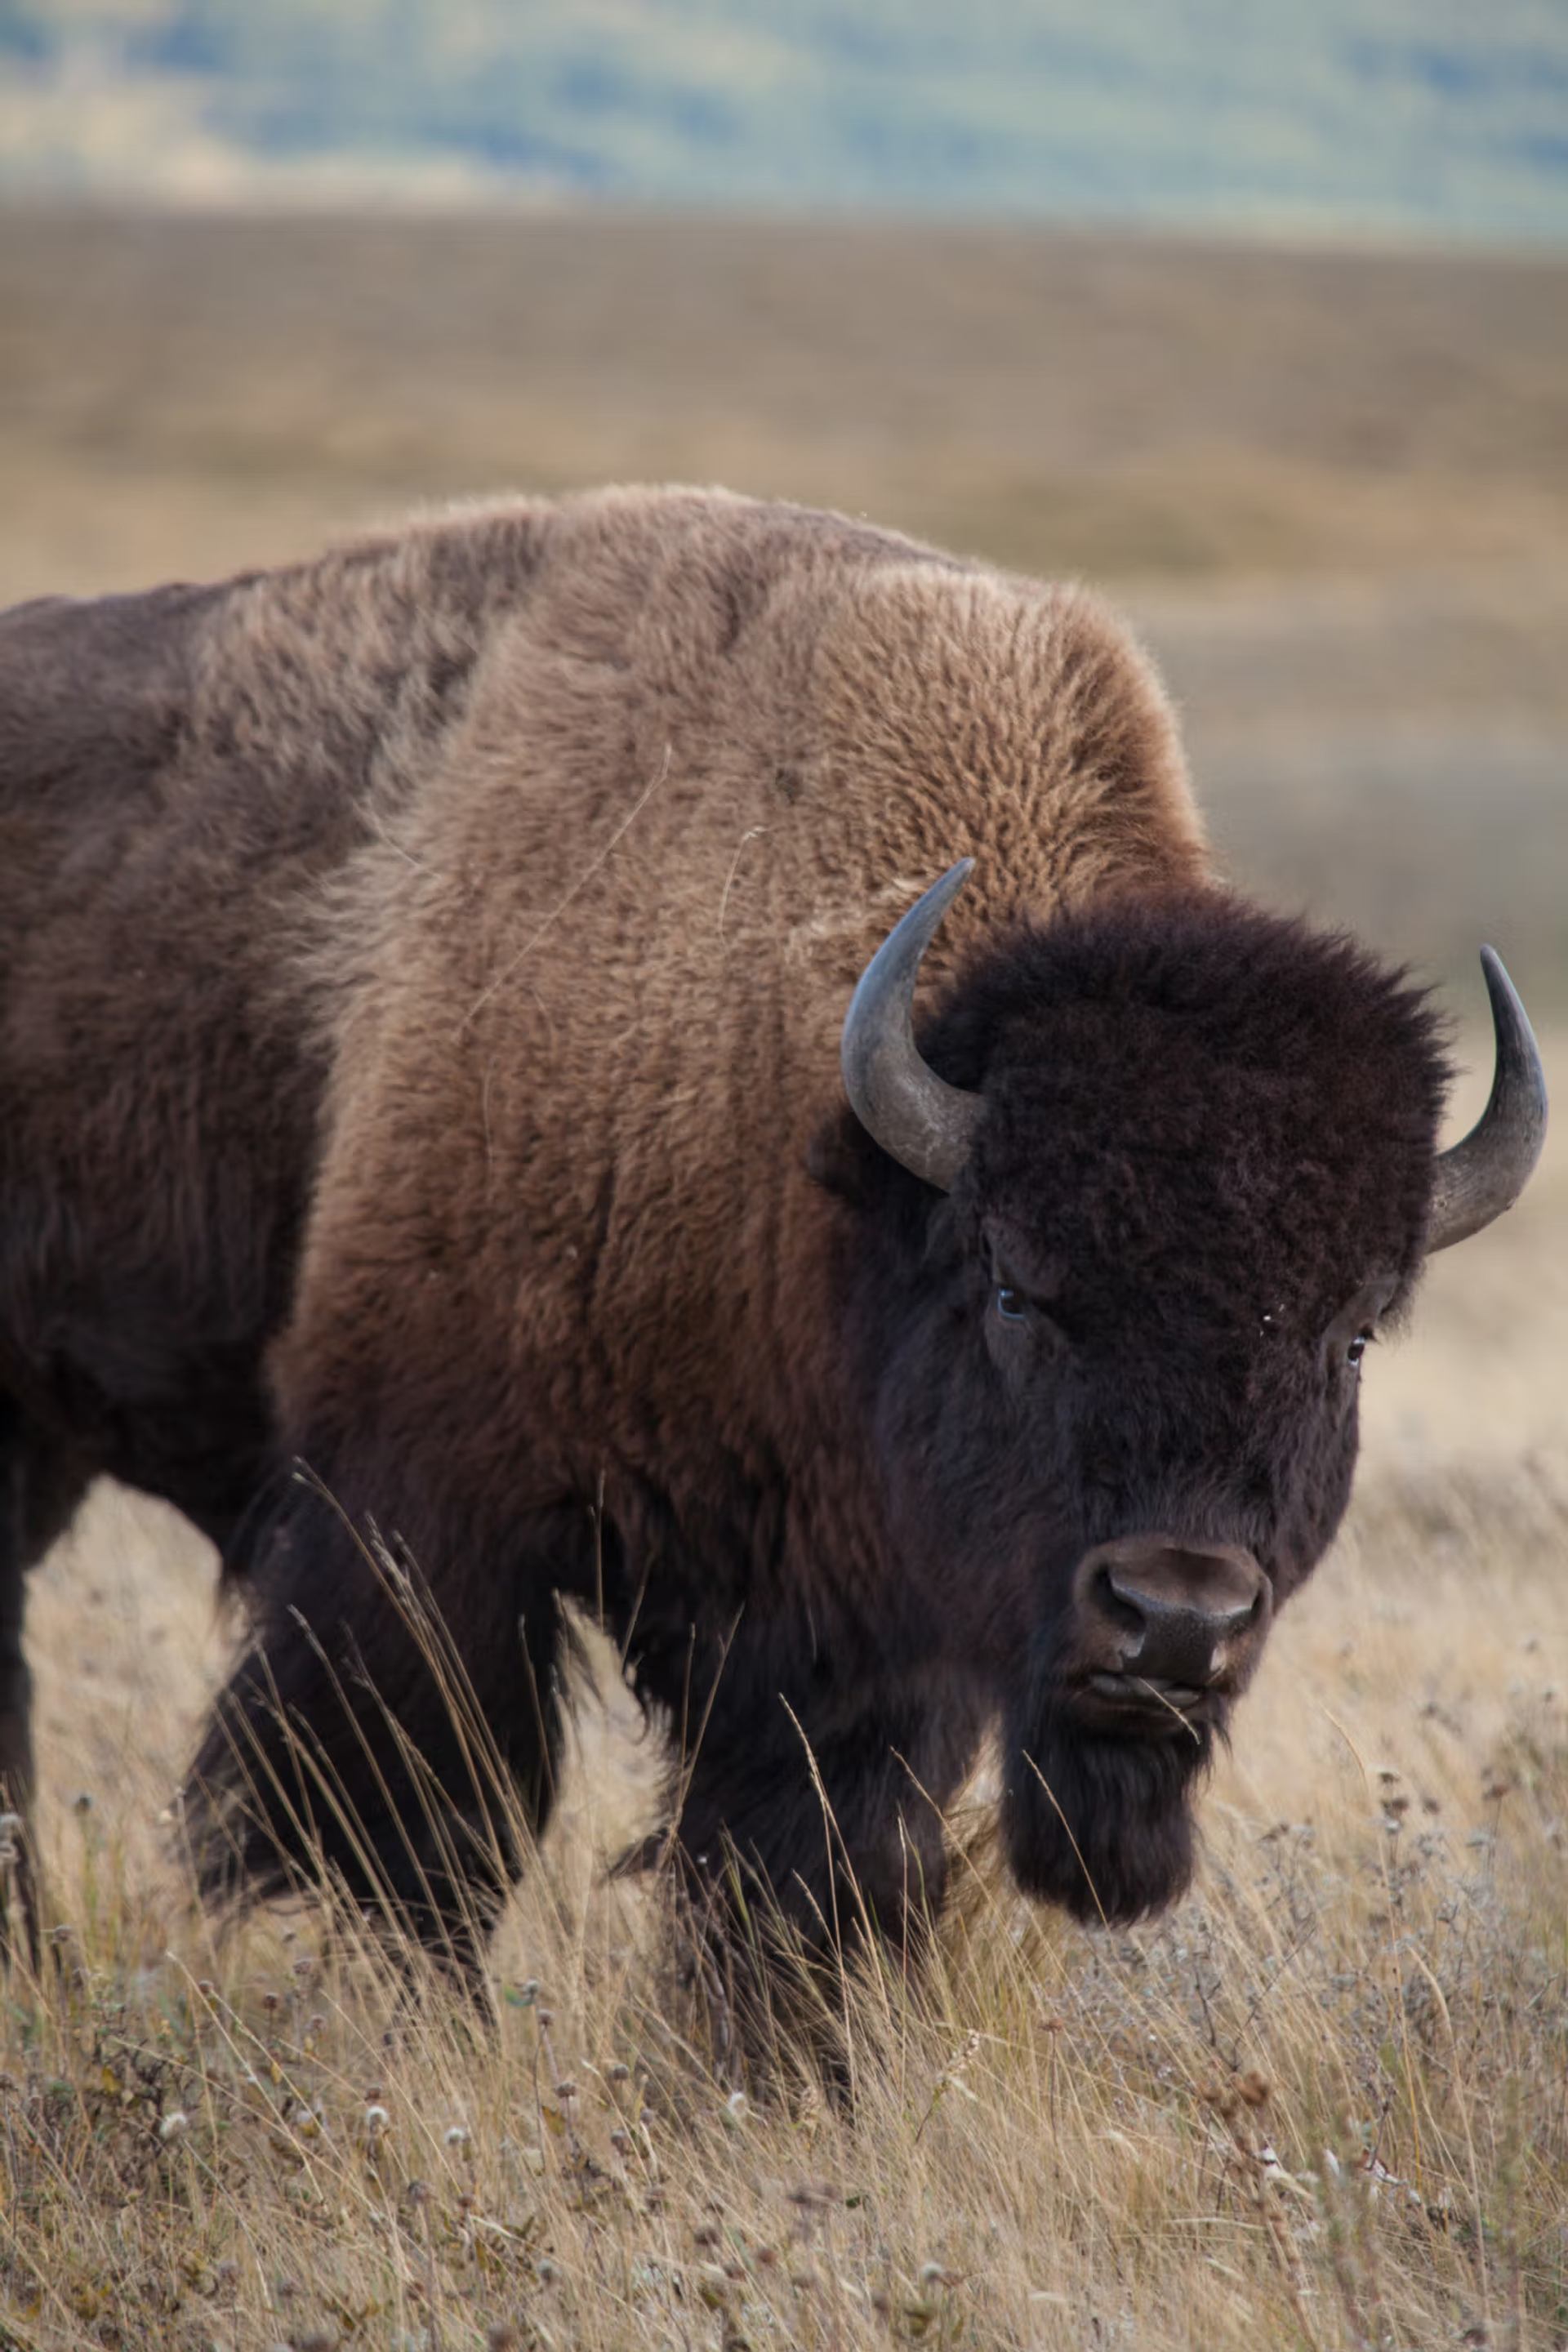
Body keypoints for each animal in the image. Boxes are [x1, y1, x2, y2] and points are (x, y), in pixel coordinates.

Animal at [0, 486, 1547, 1986]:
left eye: (1354, 1334)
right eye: (1014, 1291)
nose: (1176, 1617)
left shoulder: (850, 1646)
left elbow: (799, 1880)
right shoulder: (428, 1528)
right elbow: (423, 1846)